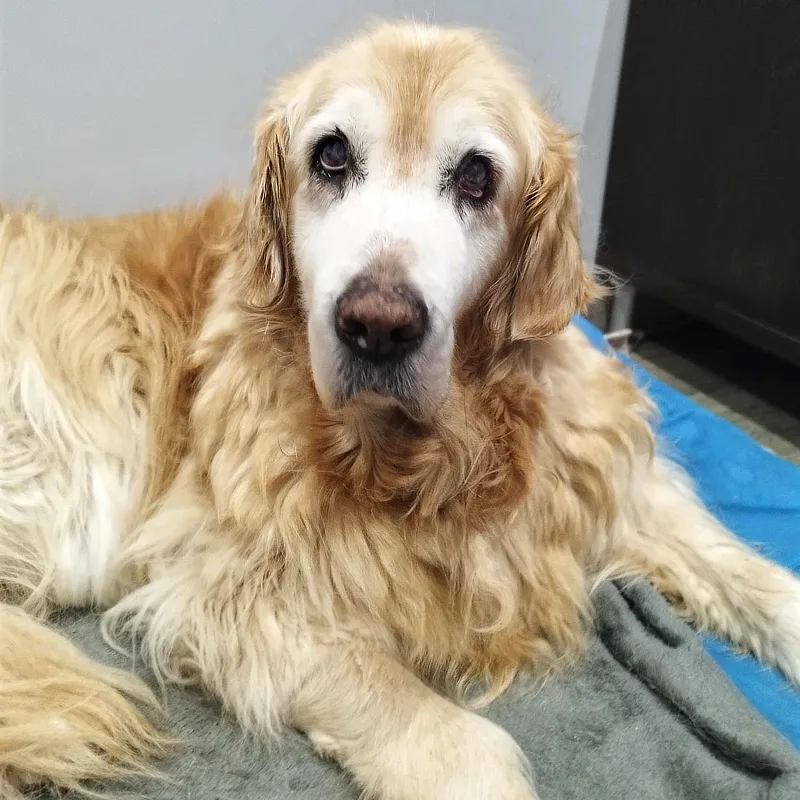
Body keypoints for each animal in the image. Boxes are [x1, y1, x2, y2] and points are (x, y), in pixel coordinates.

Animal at [1, 20, 800, 800]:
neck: (437, 454)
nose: (377, 325)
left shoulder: (598, 483)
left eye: (477, 175)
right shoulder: (215, 579)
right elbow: (449, 740)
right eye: (330, 155)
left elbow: (741, 569)